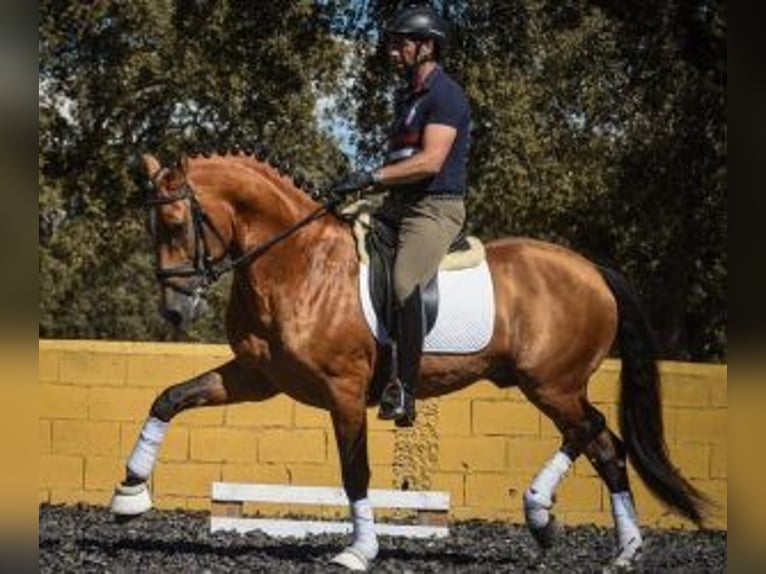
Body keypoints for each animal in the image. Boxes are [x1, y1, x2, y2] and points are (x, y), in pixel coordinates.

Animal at [111, 151, 712, 572]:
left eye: (176, 224)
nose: (174, 309)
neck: (296, 262)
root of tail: (593, 271)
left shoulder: (344, 390)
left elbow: (354, 470)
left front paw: (359, 550)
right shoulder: (257, 377)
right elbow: (169, 398)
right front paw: (130, 494)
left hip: (551, 383)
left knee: (595, 434)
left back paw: (566, 523)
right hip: (548, 383)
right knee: (599, 439)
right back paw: (596, 539)